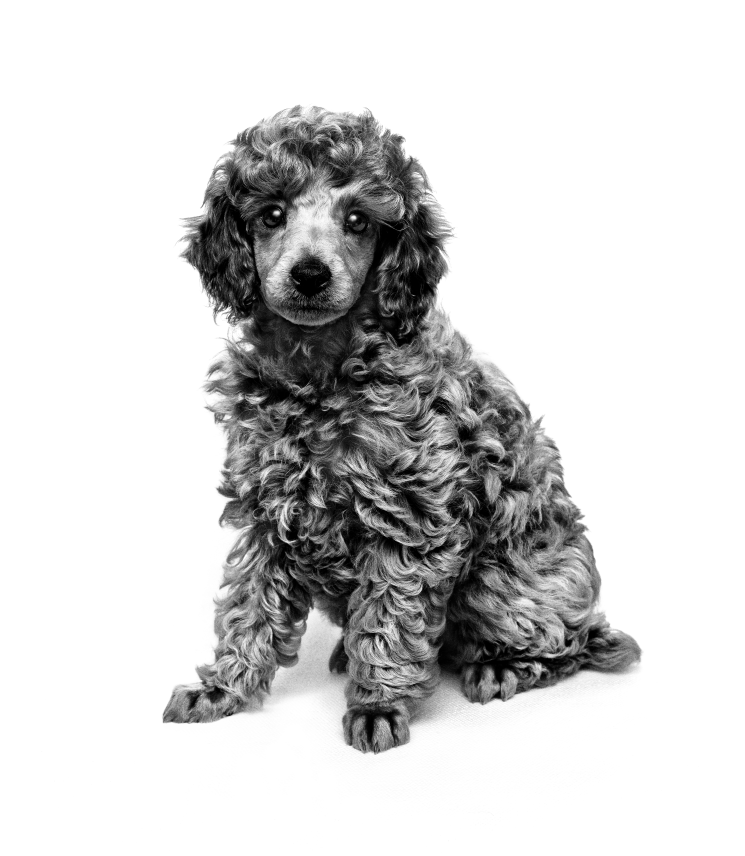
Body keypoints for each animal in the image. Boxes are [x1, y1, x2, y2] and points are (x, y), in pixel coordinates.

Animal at [163, 105, 640, 748]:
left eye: (358, 221)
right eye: (271, 215)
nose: (310, 275)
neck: (321, 370)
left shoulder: (412, 515)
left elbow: (390, 614)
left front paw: (377, 704)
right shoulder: (267, 508)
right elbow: (248, 604)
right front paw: (223, 687)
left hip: (503, 584)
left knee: (562, 645)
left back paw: (502, 665)